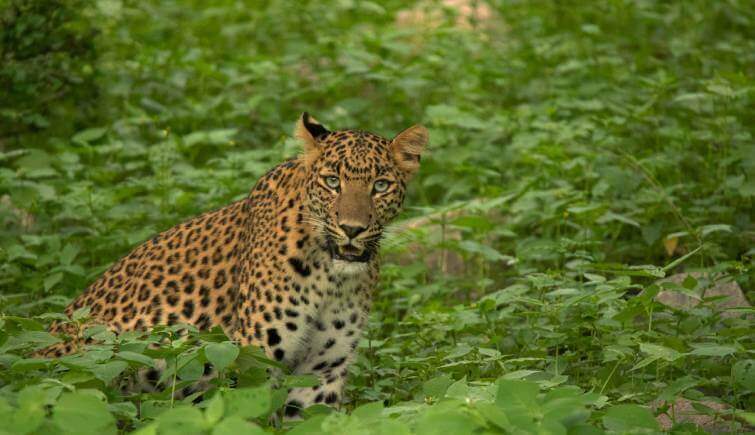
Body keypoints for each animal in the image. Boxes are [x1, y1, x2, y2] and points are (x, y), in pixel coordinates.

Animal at [39, 114, 432, 418]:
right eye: (332, 181)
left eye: (380, 185)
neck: (330, 276)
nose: (353, 229)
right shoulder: (254, 360)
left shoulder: (322, 374)